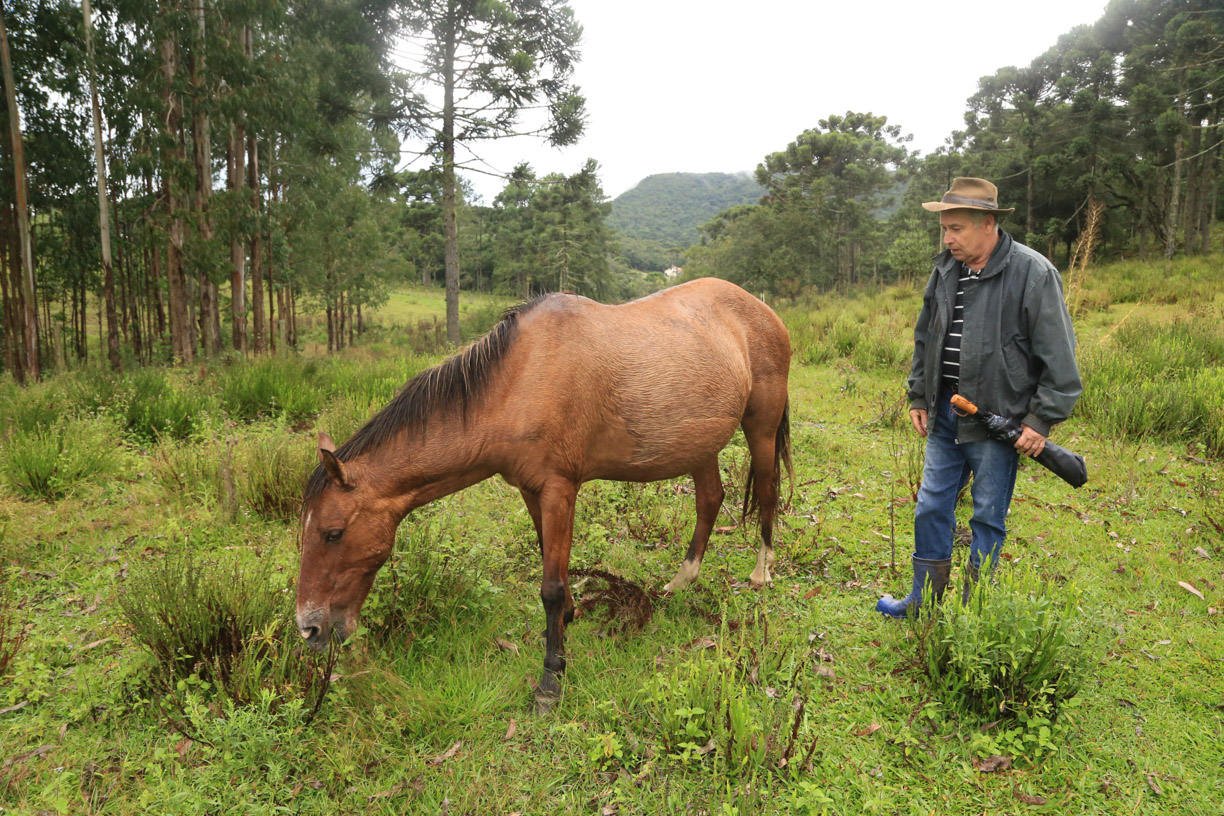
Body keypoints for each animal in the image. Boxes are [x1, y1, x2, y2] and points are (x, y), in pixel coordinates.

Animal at [296, 277, 793, 709]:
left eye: (333, 533)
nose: (309, 629)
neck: (518, 380)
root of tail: (761, 309)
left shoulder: (558, 488)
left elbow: (550, 586)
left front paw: (551, 679)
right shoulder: (531, 492)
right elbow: (551, 562)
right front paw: (568, 621)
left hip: (760, 427)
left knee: (768, 492)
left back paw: (761, 572)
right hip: (699, 444)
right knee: (710, 500)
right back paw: (680, 581)